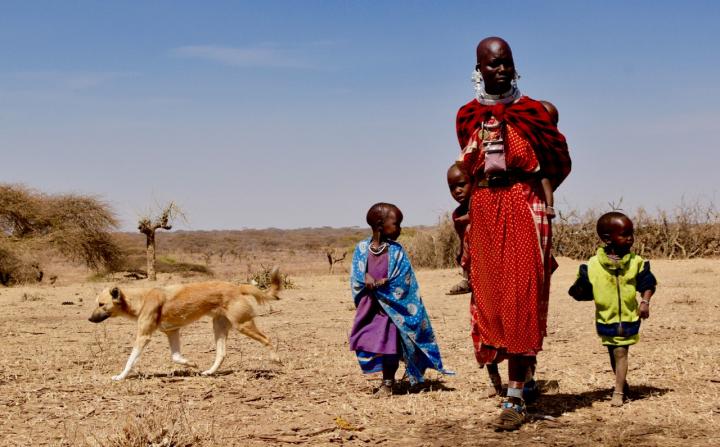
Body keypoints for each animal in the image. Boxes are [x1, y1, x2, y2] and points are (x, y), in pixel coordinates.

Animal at [88, 270, 282, 382]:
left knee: (267, 339)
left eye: (101, 304)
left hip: (242, 325)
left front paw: (120, 376)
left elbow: (130, 360)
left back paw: (276, 359)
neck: (139, 300)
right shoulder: (172, 331)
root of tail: (236, 287)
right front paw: (191, 364)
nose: (89, 319)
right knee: (221, 353)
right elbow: (175, 357)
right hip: (218, 327)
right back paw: (209, 372)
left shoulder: (144, 337)